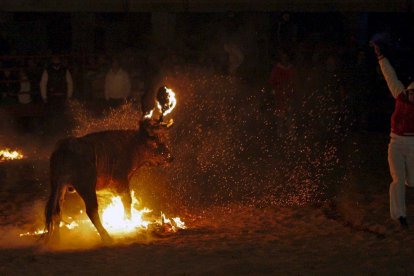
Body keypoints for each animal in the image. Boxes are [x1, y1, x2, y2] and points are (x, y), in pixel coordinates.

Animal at [44, 118, 174, 244]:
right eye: (155, 138)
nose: (170, 157)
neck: (130, 145)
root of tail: (64, 147)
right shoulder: (122, 182)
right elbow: (127, 201)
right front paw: (128, 224)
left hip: (60, 186)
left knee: (56, 211)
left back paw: (56, 240)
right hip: (86, 186)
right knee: (91, 210)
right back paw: (107, 237)